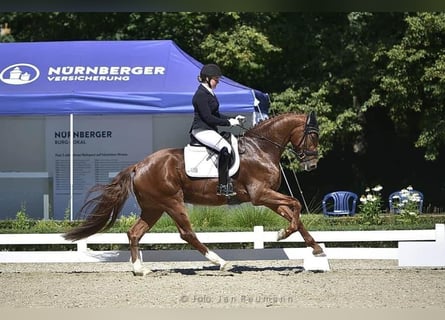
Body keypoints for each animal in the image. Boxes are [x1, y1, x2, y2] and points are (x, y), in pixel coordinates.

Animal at [63, 111, 322, 274]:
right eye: (313, 135)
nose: (312, 165)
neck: (261, 148)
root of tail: (139, 165)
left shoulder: (266, 197)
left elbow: (295, 215)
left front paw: (315, 248)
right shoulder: (260, 195)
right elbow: (296, 205)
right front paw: (281, 234)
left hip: (154, 208)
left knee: (134, 233)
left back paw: (140, 270)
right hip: (172, 202)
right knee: (187, 233)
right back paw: (221, 263)